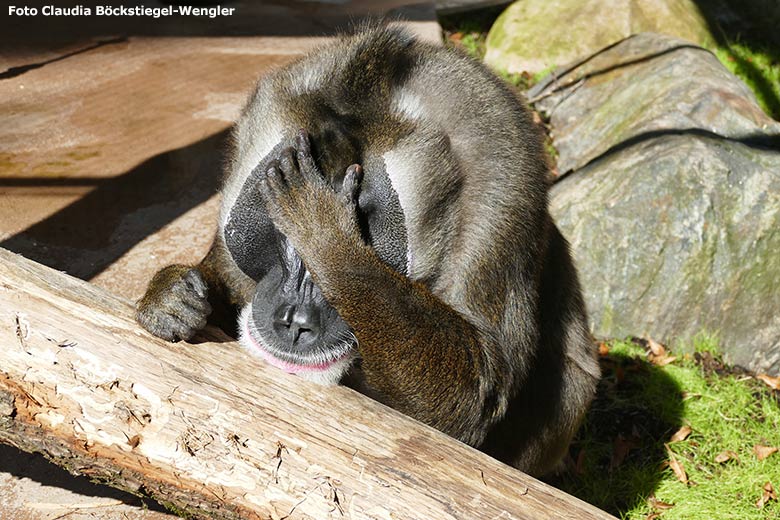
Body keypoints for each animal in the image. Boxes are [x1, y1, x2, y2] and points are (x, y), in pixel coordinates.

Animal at [137, 27, 600, 476]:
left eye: (362, 226)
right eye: (278, 227)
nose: (296, 321)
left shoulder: (503, 191)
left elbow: (477, 388)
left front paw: (326, 232)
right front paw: (171, 295)